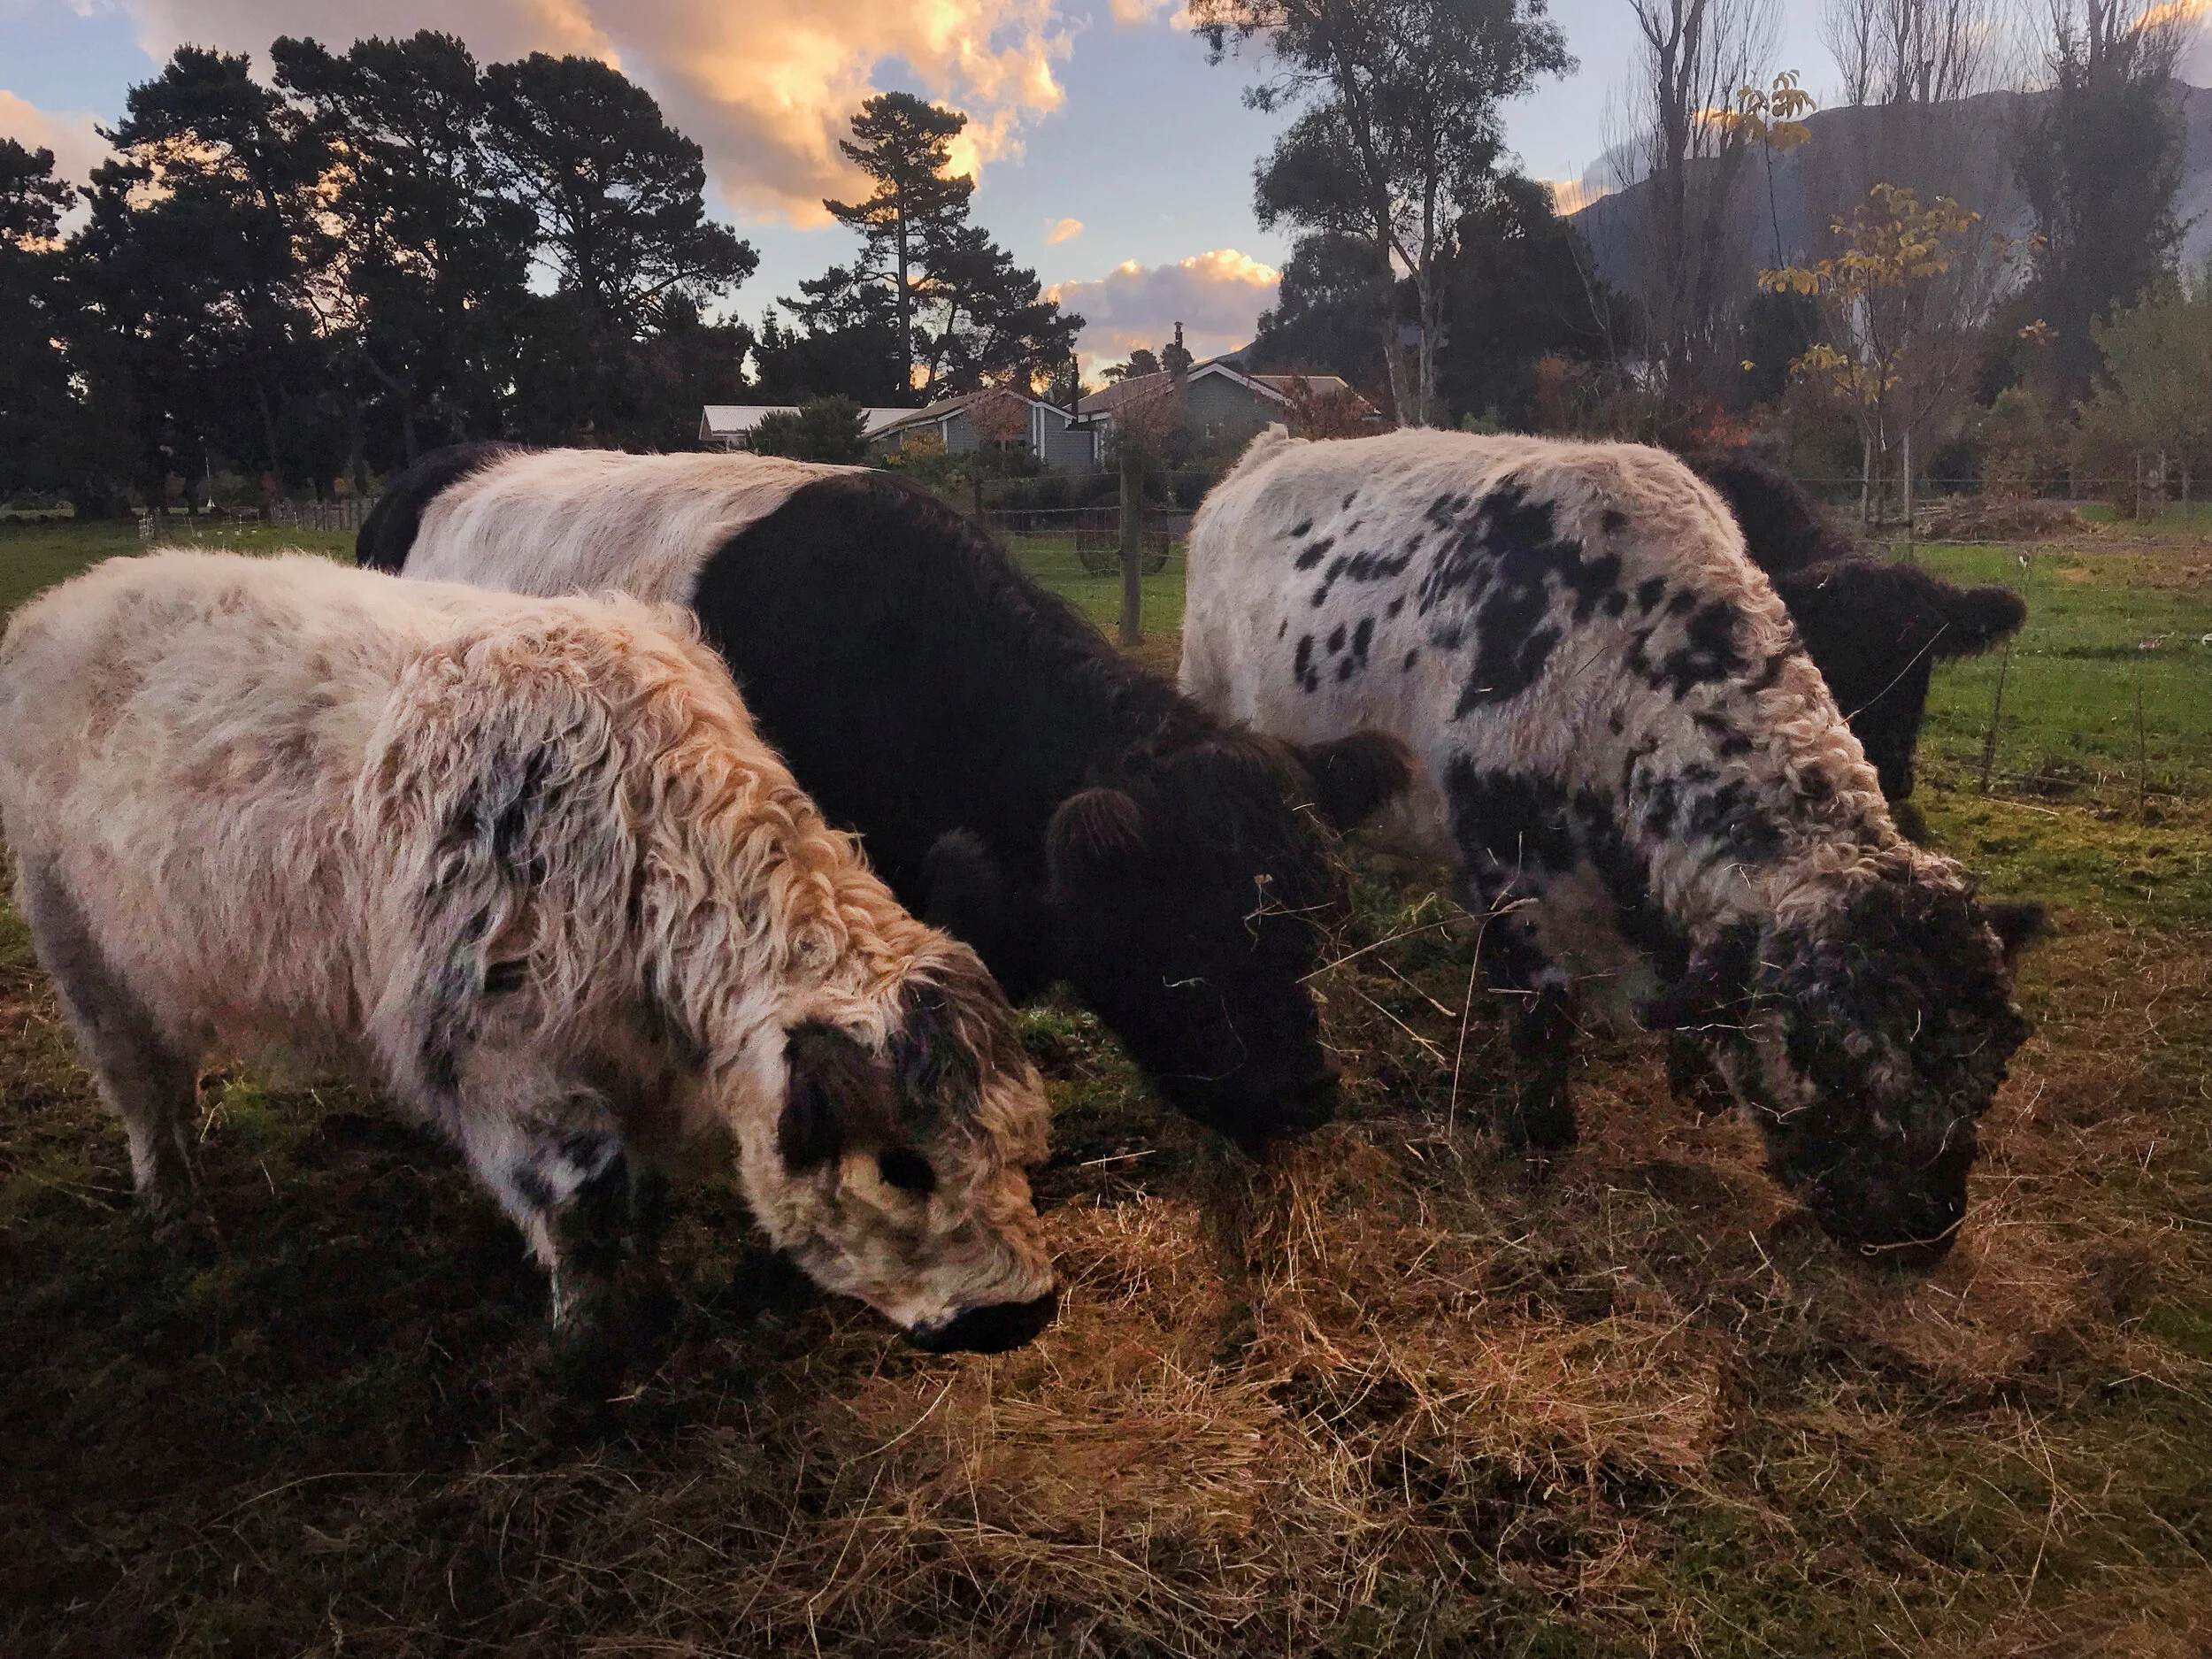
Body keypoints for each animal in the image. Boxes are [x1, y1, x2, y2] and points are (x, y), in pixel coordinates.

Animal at [0, 551, 1058, 1361]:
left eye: (1022, 1144)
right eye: (905, 1166)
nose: (1023, 1309)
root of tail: (59, 603)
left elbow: (640, 1189)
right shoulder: (498, 1060)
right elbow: (580, 1192)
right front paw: (594, 1332)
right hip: (79, 951)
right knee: (146, 1092)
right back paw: (177, 1213)